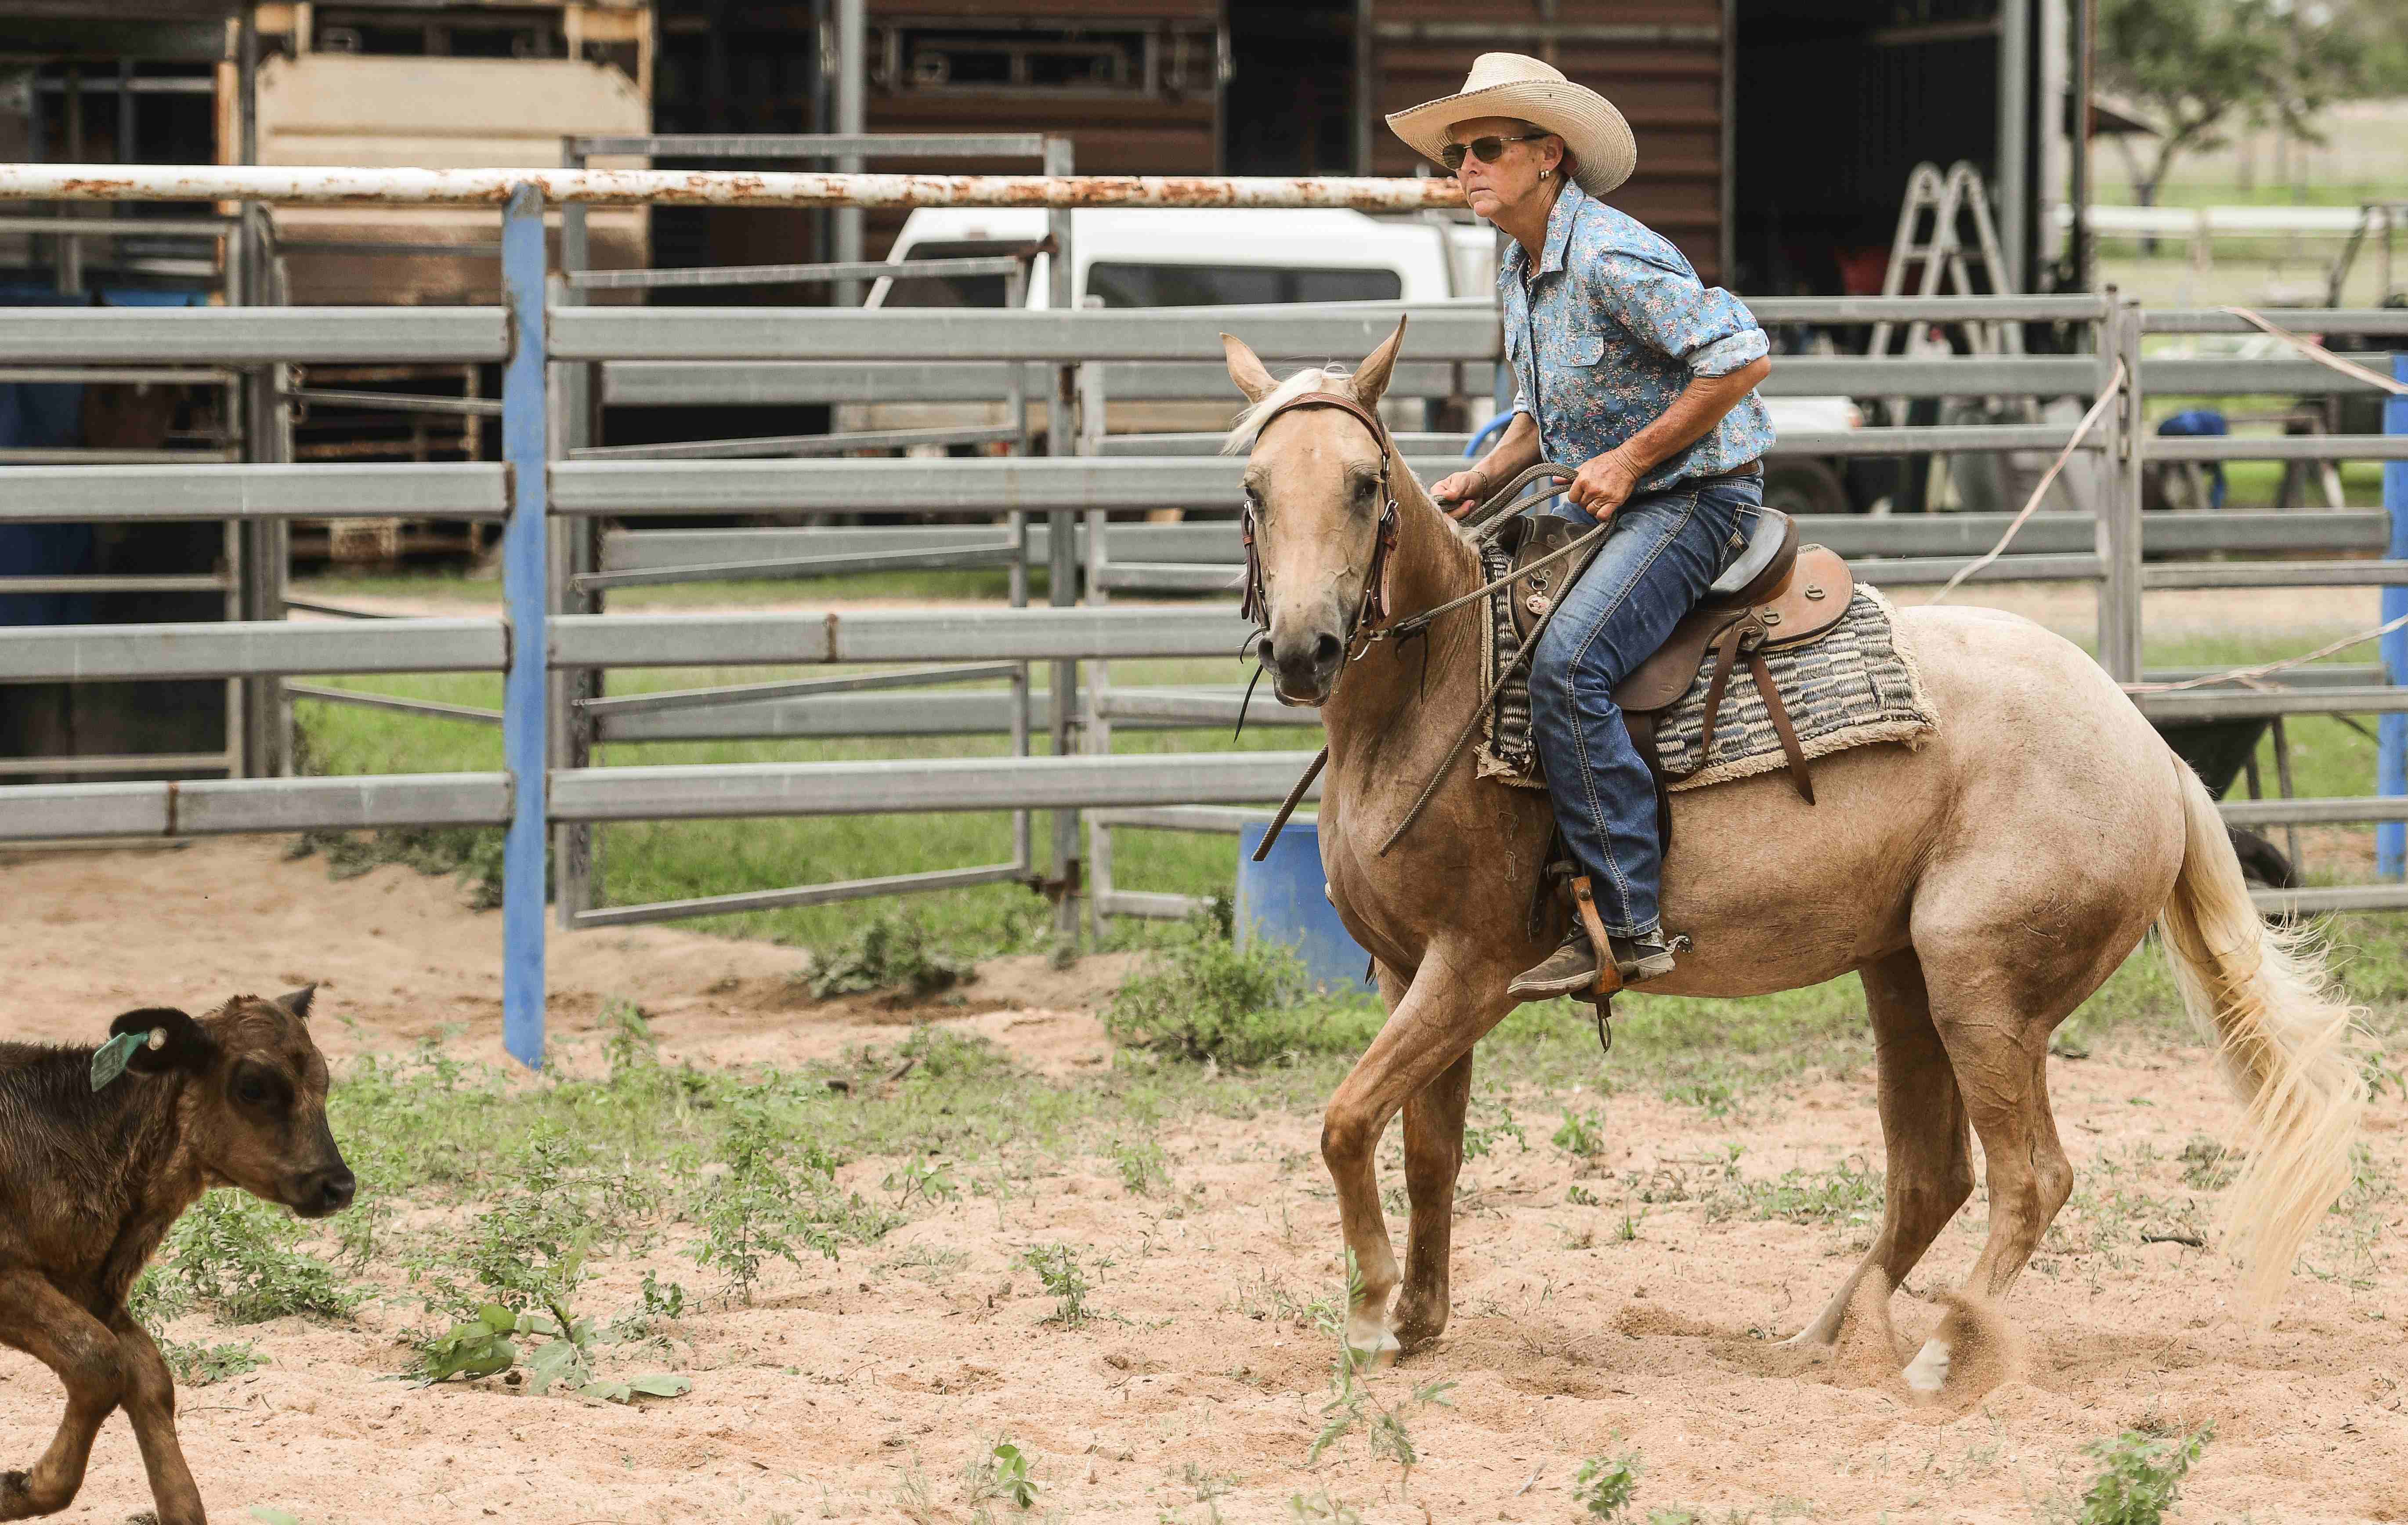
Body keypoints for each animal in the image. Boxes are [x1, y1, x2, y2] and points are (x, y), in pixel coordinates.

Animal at [0, 988, 353, 1524]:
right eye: (253, 1087)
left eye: (323, 1082)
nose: (340, 1186)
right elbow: (99, 1362)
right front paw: (20, 1488)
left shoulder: (95, 1292)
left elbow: (149, 1377)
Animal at [1221, 318, 2366, 1392]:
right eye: (1254, 488)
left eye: (1366, 483)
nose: (1305, 648)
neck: (1444, 684)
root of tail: (2151, 749)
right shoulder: (1408, 971)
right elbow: (1426, 1147)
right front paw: (1416, 1317)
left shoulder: (1472, 966)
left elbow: (1345, 1119)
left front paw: (1370, 1310)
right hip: (1901, 976)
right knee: (1930, 1178)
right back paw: (1826, 1337)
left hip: (1979, 983)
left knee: (2029, 1176)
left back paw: (1941, 1354)